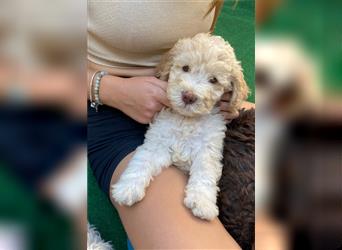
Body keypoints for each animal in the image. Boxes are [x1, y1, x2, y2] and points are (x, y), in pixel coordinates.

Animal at [112, 32, 248, 220]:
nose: (188, 96)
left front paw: (202, 202)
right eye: (185, 68)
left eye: (213, 80)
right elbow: (142, 160)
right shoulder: (158, 142)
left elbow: (205, 173)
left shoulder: (208, 150)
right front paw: (127, 188)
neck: (187, 120)